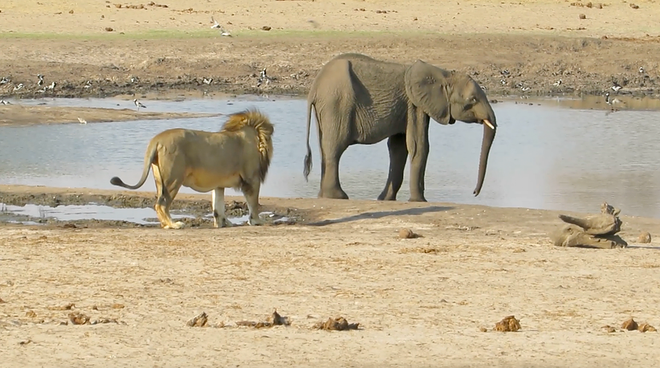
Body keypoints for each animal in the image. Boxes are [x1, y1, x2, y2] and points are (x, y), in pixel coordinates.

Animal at [109, 109, 274, 229]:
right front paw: (258, 221)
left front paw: (223, 223)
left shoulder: (219, 184)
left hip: (159, 179)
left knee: (159, 203)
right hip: (173, 179)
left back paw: (165, 224)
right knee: (161, 204)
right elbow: (254, 203)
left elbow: (218, 206)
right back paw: (173, 225)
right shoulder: (251, 179)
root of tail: (156, 140)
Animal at [302, 52, 498, 201]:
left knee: (325, 147)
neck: (444, 74)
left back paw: (325, 196)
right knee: (335, 147)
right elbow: (419, 147)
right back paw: (338, 197)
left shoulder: (407, 107)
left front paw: (385, 199)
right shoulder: (415, 105)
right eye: (472, 99)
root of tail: (314, 88)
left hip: (328, 107)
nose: (474, 193)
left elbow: (398, 148)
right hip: (336, 103)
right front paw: (419, 201)